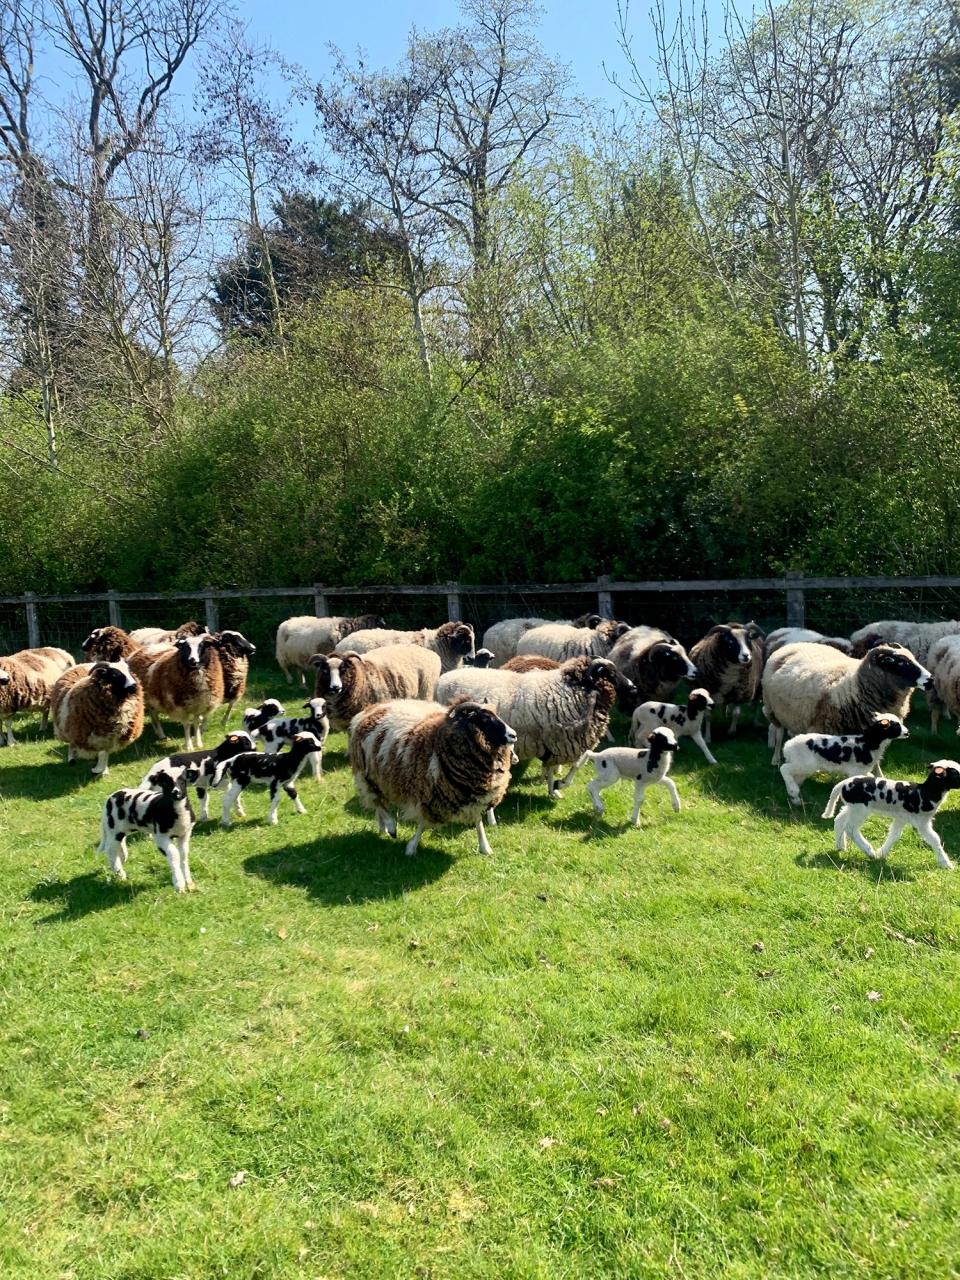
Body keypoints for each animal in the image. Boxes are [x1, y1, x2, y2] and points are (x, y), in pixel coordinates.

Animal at [350, 701, 519, 860]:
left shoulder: (471, 794)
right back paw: (391, 827)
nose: (514, 735)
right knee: (377, 802)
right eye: (484, 718)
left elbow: (478, 821)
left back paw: (383, 828)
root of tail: (372, 708)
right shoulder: (430, 793)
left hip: (379, 777)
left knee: (379, 804)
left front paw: (485, 848)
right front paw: (411, 848)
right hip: (366, 774)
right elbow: (423, 823)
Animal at [783, 716, 911, 803]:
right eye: (896, 725)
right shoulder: (855, 771)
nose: (907, 733)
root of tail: (788, 746)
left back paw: (794, 796)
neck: (869, 743)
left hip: (803, 767)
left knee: (794, 776)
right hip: (804, 763)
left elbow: (871, 777)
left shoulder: (862, 771)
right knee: (784, 769)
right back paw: (793, 790)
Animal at [819, 757, 960, 870]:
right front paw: (946, 864)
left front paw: (882, 853)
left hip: (852, 807)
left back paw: (840, 846)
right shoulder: (921, 821)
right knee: (851, 828)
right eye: (956, 773)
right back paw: (869, 851)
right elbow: (935, 839)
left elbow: (894, 835)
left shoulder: (901, 818)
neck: (925, 792)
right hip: (860, 809)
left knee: (839, 820)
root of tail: (843, 784)